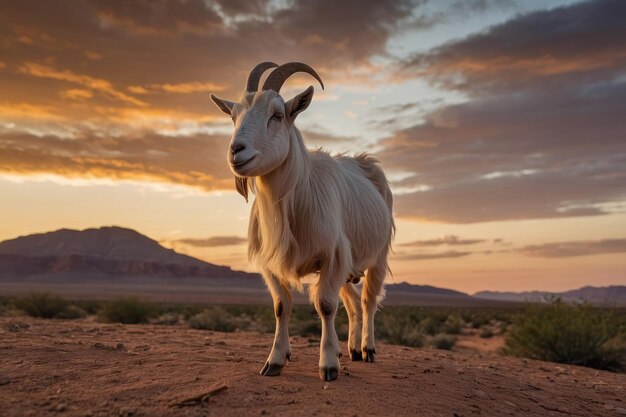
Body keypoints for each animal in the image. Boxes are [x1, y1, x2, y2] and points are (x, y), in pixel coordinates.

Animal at [212, 61, 392, 380]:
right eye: (233, 115)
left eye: (277, 114)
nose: (236, 150)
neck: (296, 198)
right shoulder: (271, 262)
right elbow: (281, 306)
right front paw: (275, 359)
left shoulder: (332, 256)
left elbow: (326, 306)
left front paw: (328, 364)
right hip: (349, 268)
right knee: (353, 304)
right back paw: (353, 349)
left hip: (377, 256)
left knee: (368, 301)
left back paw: (368, 349)